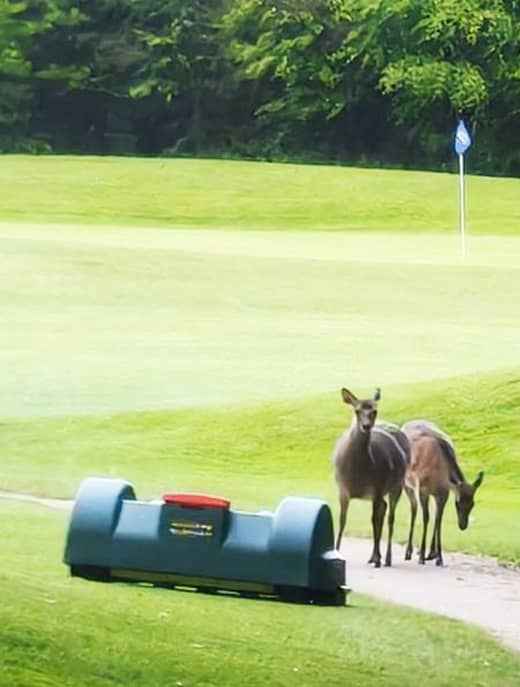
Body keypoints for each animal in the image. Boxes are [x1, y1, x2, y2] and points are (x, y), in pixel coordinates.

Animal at [332, 387, 410, 567]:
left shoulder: (377, 486)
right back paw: (375, 557)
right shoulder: (342, 489)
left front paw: (378, 559)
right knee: (384, 509)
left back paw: (385, 558)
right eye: (357, 410)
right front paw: (336, 552)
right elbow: (342, 520)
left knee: (389, 518)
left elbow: (374, 520)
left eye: (374, 410)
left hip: (397, 485)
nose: (366, 426)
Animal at [402, 419, 484, 567]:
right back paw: (409, 552)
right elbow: (426, 518)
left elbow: (438, 520)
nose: (463, 525)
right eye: (457, 503)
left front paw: (439, 558)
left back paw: (430, 553)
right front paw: (421, 557)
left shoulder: (443, 493)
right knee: (414, 509)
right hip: (407, 485)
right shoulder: (422, 489)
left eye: (473, 504)